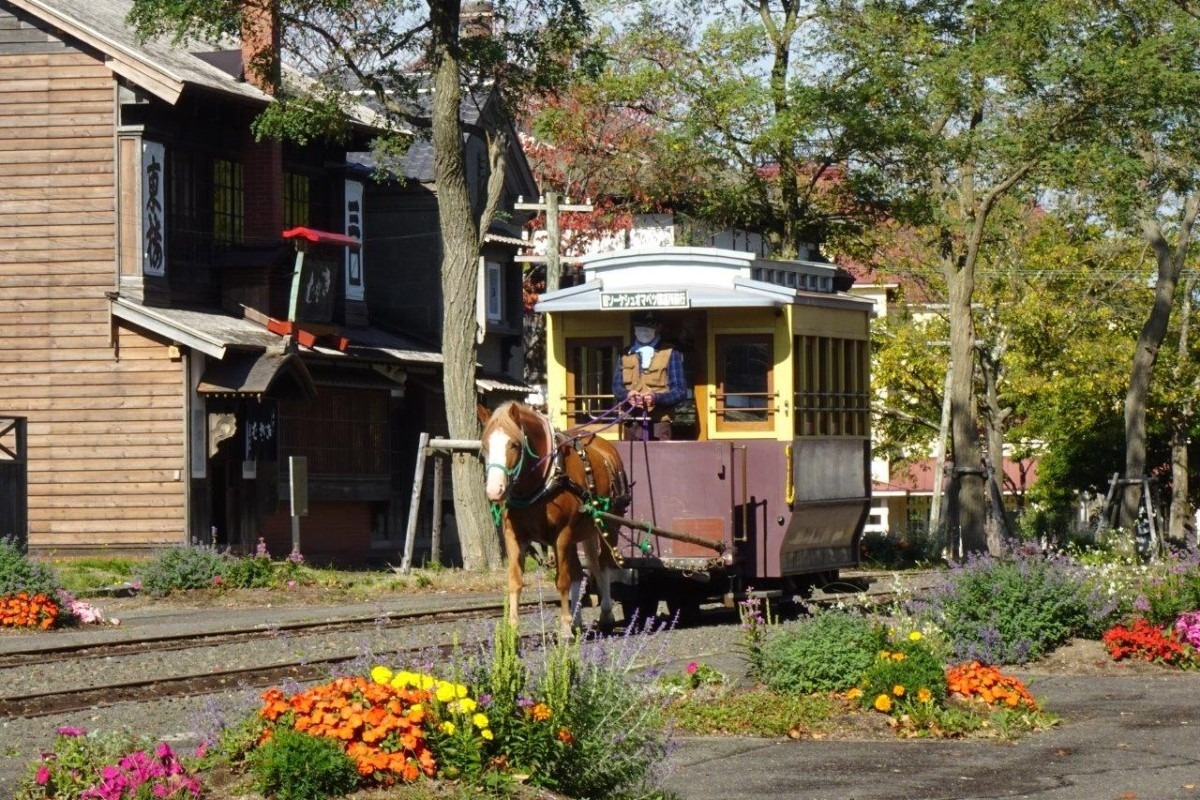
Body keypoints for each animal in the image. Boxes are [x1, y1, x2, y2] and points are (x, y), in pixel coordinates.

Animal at [480, 400, 628, 638]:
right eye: (484, 445)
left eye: (514, 445)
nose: (495, 490)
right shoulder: (514, 535)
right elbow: (515, 581)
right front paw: (512, 630)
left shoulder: (563, 533)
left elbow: (562, 581)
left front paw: (565, 628)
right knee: (580, 571)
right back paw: (578, 620)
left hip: (610, 524)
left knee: (604, 565)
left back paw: (605, 615)